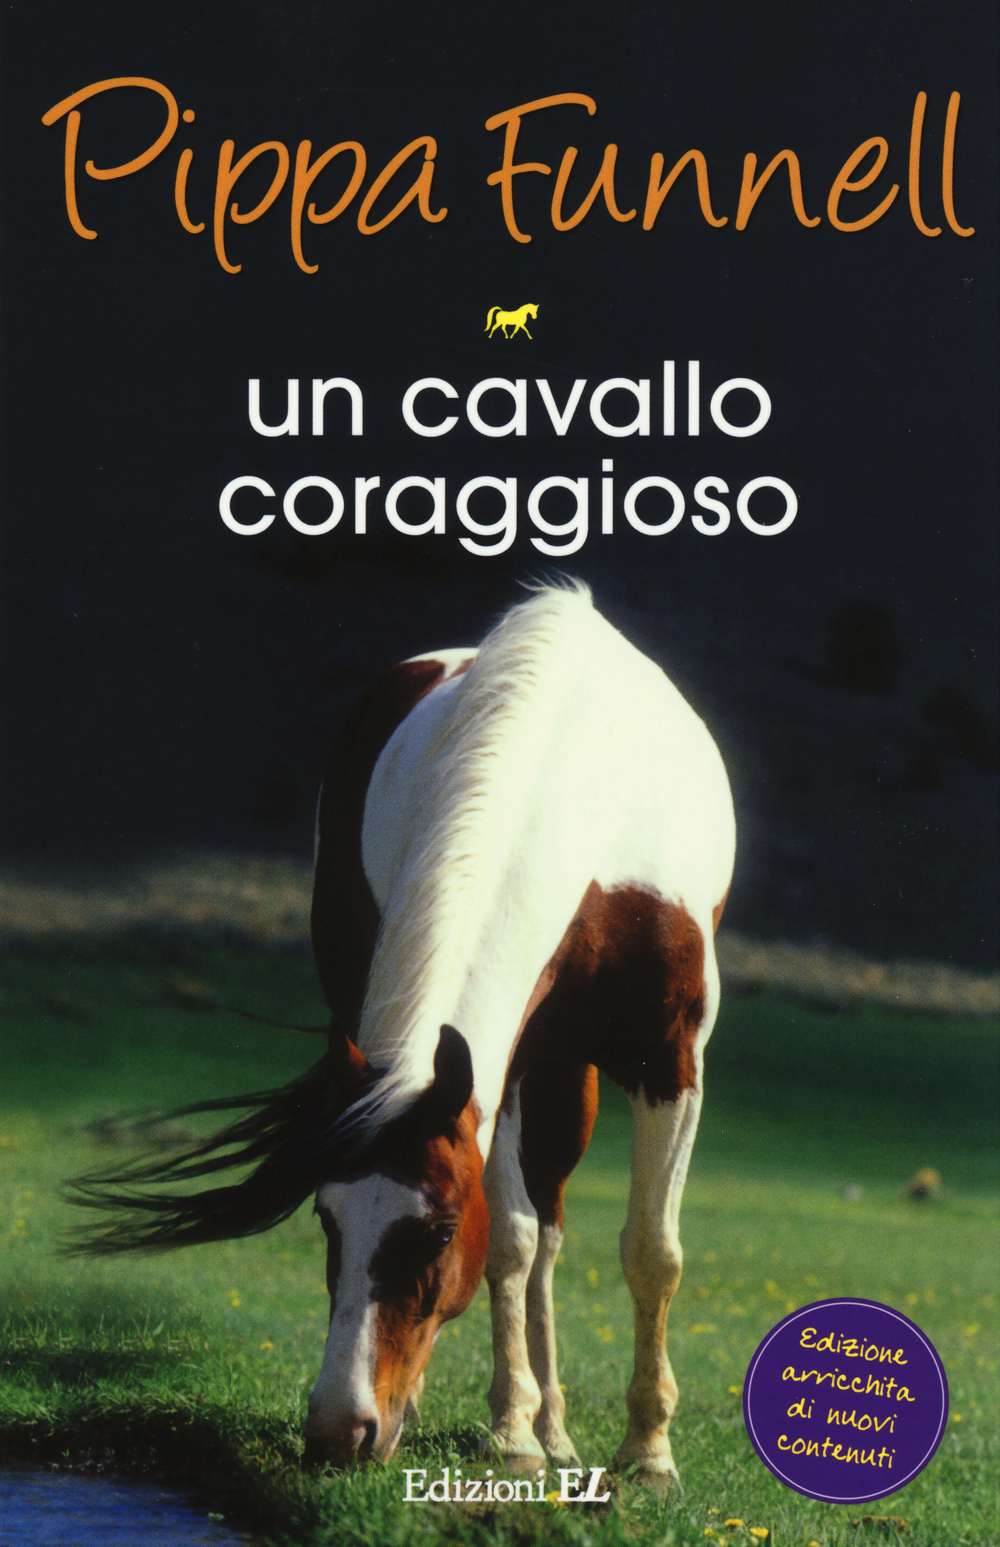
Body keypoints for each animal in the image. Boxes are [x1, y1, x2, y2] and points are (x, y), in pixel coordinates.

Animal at [66, 584, 735, 1488]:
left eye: (440, 1231)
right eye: (325, 1219)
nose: (337, 1429)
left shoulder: (670, 1056)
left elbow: (649, 1250)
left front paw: (647, 1452)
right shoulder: (497, 1069)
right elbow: (513, 1239)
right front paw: (511, 1433)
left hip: (573, 1073)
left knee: (562, 1228)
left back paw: (562, 1429)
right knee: (537, 1232)